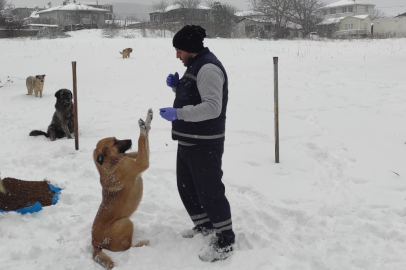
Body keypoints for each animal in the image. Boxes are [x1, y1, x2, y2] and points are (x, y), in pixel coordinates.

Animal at [91, 108, 153, 268]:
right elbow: (142, 140)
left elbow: (145, 141)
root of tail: (95, 245)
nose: (129, 140)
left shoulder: (135, 156)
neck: (112, 162)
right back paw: (143, 243)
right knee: (128, 247)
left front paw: (147, 120)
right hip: (126, 222)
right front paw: (141, 128)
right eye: (115, 142)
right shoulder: (141, 162)